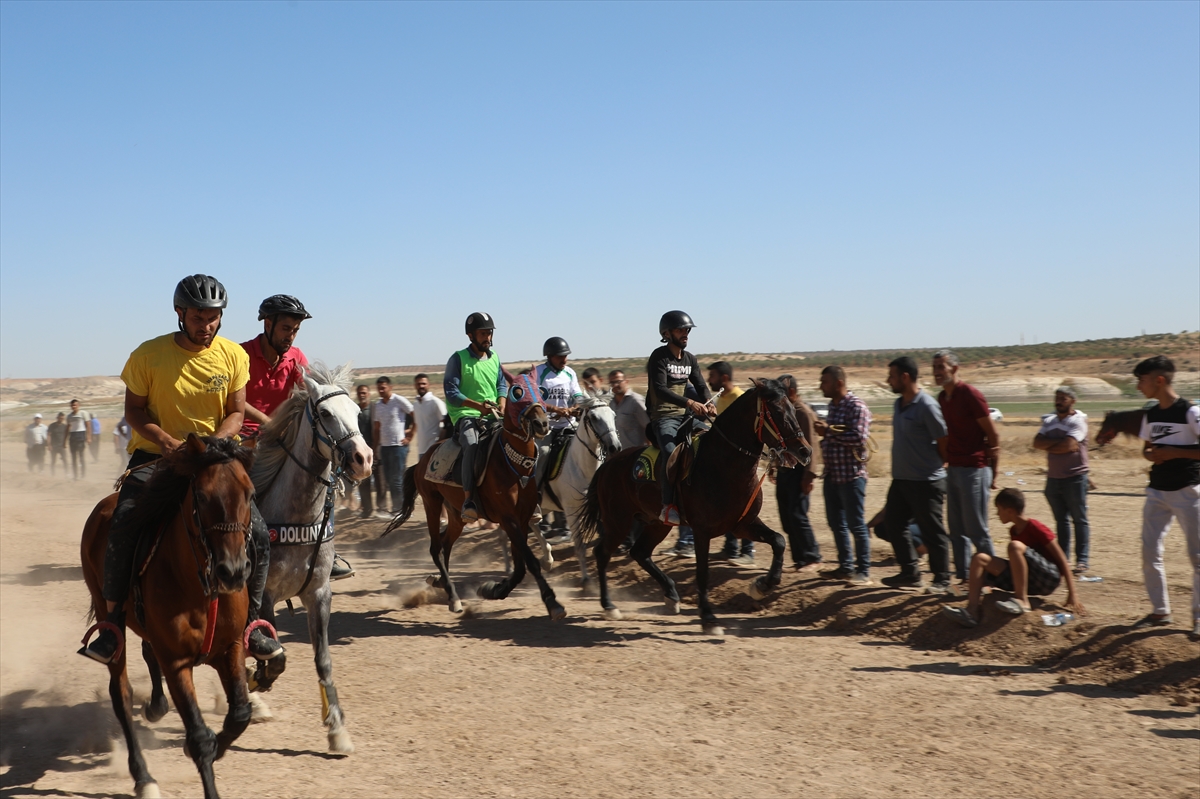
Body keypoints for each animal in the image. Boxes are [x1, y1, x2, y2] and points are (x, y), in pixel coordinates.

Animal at [81, 431, 258, 796]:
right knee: (121, 693)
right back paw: (143, 777)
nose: (232, 572)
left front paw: (216, 746)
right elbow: (199, 736)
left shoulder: (231, 648)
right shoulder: (177, 663)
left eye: (250, 494)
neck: (201, 588)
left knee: (148, 655)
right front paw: (202, 757)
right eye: (202, 496)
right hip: (109, 620)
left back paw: (156, 707)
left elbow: (240, 714)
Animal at [247, 364, 369, 748]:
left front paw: (337, 728)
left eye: (358, 412)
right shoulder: (264, 597)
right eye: (326, 413)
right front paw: (259, 679)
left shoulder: (318, 593)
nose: (364, 459)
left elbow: (323, 659)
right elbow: (273, 653)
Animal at [384, 371, 561, 614]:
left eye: (541, 391)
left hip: (457, 514)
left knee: (445, 544)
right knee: (435, 547)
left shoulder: (523, 518)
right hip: (432, 503)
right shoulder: (508, 519)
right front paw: (552, 602)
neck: (515, 467)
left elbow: (519, 567)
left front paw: (493, 590)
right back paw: (453, 597)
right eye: (517, 392)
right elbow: (530, 562)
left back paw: (440, 582)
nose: (542, 423)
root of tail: (421, 462)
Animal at [576, 376, 811, 633]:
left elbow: (778, 541)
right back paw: (609, 605)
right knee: (602, 553)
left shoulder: (743, 525)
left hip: (657, 523)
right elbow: (702, 572)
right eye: (777, 411)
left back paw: (670, 595)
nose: (805, 450)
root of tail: (608, 464)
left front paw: (762, 586)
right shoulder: (702, 531)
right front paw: (708, 617)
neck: (723, 465)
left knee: (639, 552)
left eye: (793, 408)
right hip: (618, 522)